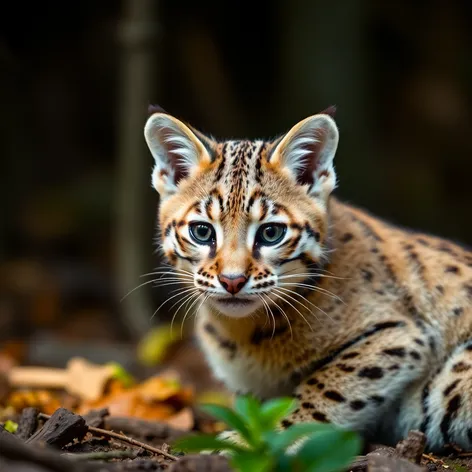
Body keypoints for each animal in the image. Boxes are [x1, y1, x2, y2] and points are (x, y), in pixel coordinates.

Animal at [143, 106, 472, 450]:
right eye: (202, 232)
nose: (232, 281)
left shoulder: (400, 334)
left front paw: (263, 439)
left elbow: (326, 387)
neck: (240, 329)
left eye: (271, 233)